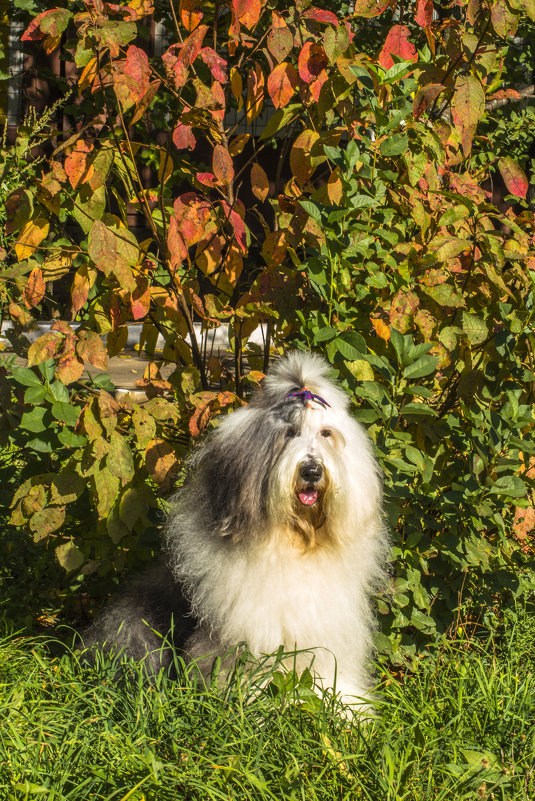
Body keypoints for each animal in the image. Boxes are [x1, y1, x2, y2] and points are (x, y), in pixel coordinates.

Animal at [84, 350, 388, 708]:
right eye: (289, 433)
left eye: (326, 434)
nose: (312, 471)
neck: (294, 542)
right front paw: (258, 705)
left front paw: (348, 707)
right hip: (137, 625)